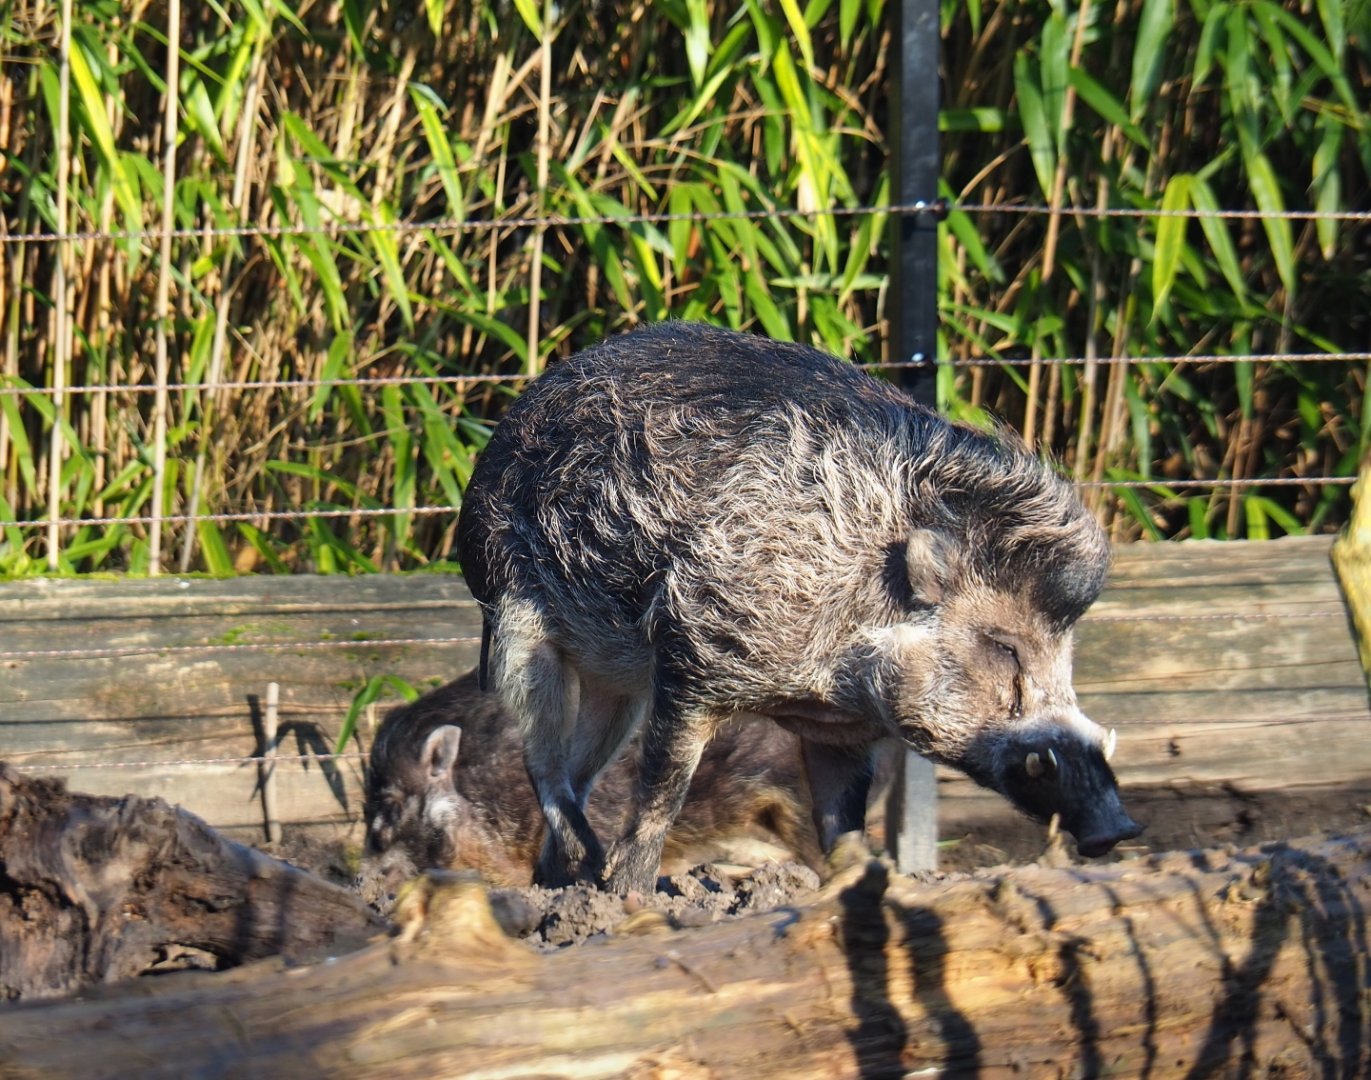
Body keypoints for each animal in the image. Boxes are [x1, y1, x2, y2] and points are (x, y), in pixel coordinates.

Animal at [456, 321, 1142, 893]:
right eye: (1003, 646)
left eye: (1068, 654)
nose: (1118, 829)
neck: (831, 678)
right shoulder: (692, 659)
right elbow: (663, 790)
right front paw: (631, 896)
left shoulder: (846, 732)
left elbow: (844, 823)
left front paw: (863, 882)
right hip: (516, 617)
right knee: (542, 758)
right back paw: (589, 871)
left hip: (617, 678)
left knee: (579, 765)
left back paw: (557, 884)